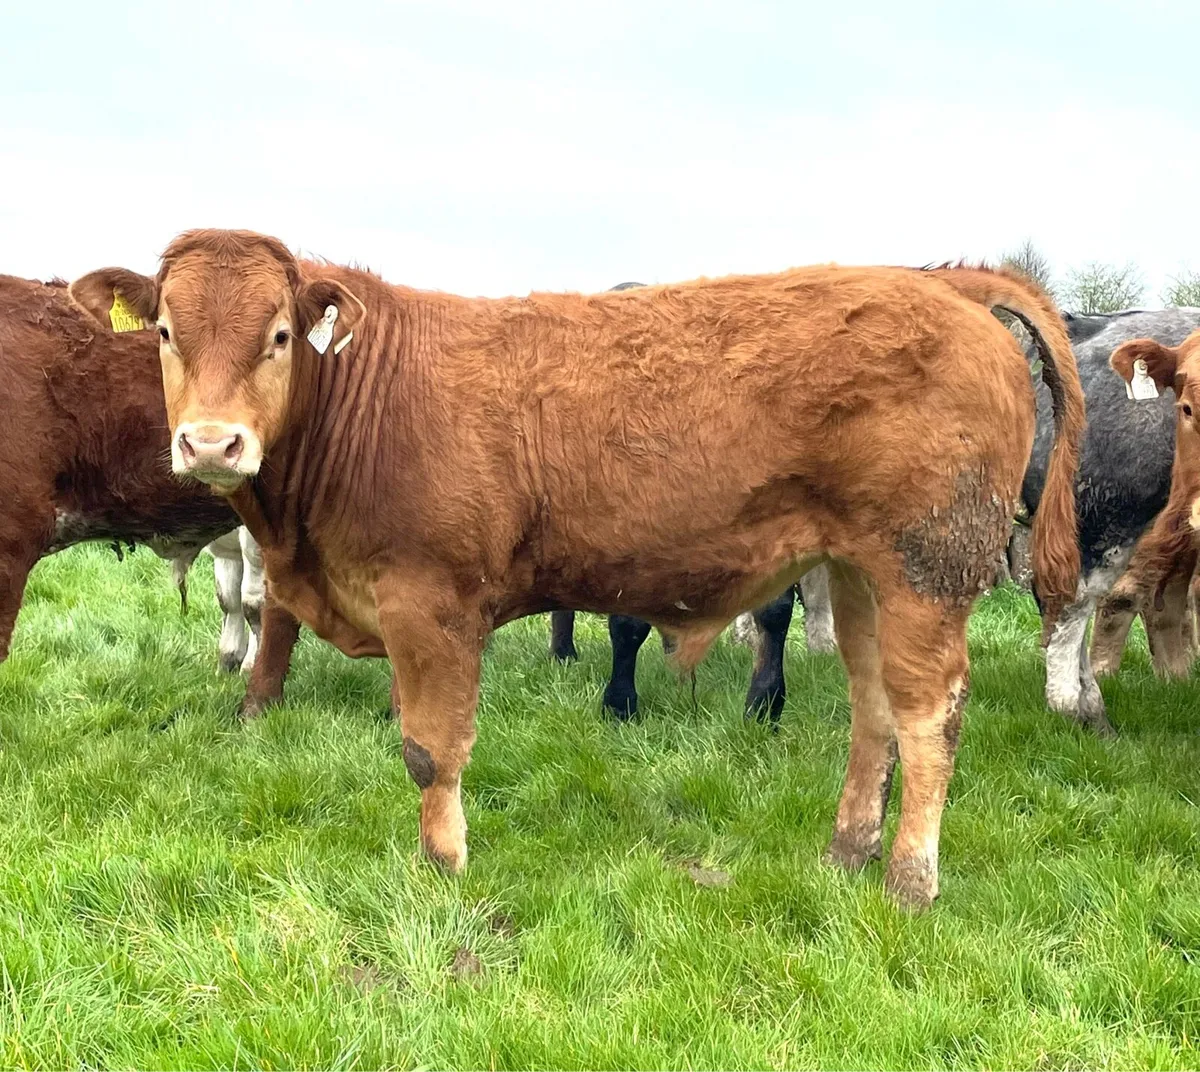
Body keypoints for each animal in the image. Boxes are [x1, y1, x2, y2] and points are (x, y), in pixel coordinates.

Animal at [70, 233, 1084, 909]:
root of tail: (947, 288)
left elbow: (430, 747)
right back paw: (847, 851)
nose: (211, 443)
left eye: (279, 335)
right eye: (164, 331)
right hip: (860, 571)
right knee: (874, 709)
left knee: (928, 718)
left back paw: (910, 878)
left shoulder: (430, 605)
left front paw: (443, 865)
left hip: (927, 570)